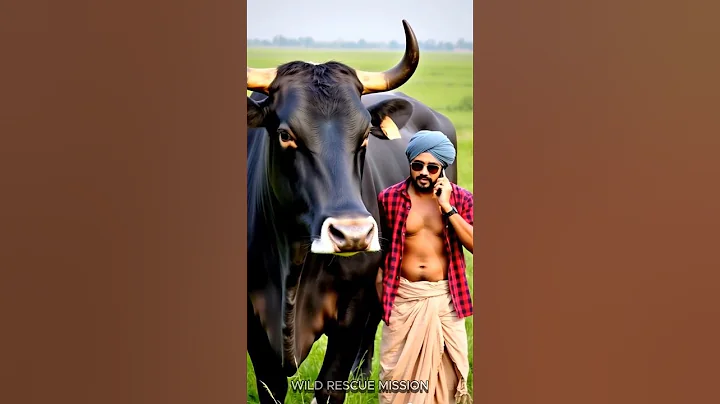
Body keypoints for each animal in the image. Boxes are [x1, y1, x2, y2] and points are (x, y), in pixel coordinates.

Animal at [246, 20, 460, 404]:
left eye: (363, 137)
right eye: (285, 134)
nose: (354, 234)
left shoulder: (352, 308)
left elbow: (332, 382)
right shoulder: (253, 326)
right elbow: (272, 386)